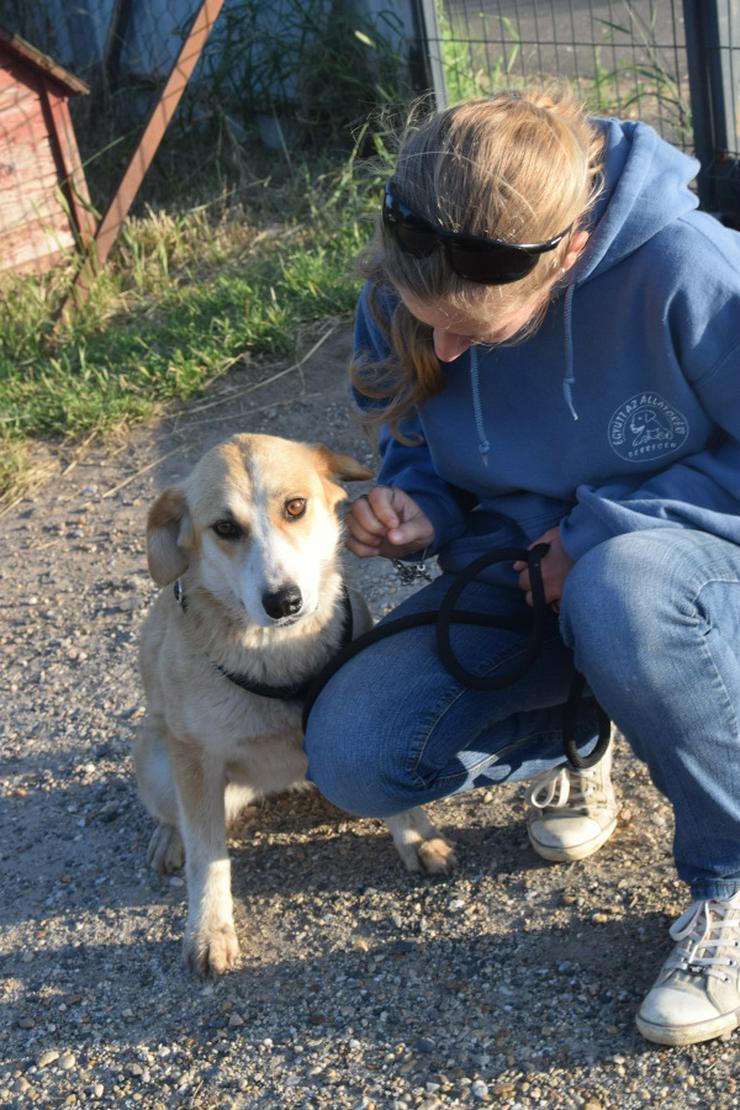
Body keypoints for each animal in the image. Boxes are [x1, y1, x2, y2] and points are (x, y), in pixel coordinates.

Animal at [135, 432, 454, 972]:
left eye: (295, 506)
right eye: (225, 527)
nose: (283, 601)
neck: (275, 652)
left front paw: (415, 834)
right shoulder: (194, 759)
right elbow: (207, 856)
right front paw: (209, 929)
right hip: (159, 761)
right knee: (173, 814)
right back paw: (167, 837)